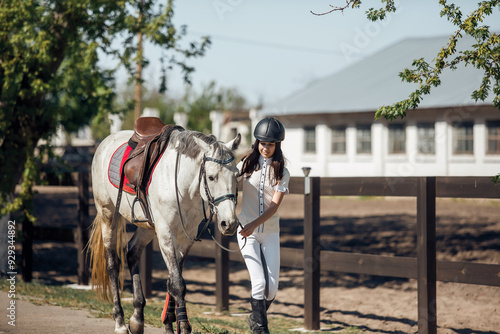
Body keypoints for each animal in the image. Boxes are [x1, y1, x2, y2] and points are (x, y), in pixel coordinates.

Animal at [87, 129, 240, 334]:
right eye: (211, 177)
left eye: (236, 177)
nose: (228, 223)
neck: (182, 186)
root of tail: (105, 142)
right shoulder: (166, 234)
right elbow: (177, 283)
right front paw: (183, 326)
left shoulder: (186, 237)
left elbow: (172, 280)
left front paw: (170, 323)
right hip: (108, 215)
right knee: (112, 264)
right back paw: (120, 322)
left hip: (148, 227)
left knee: (132, 252)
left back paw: (137, 318)